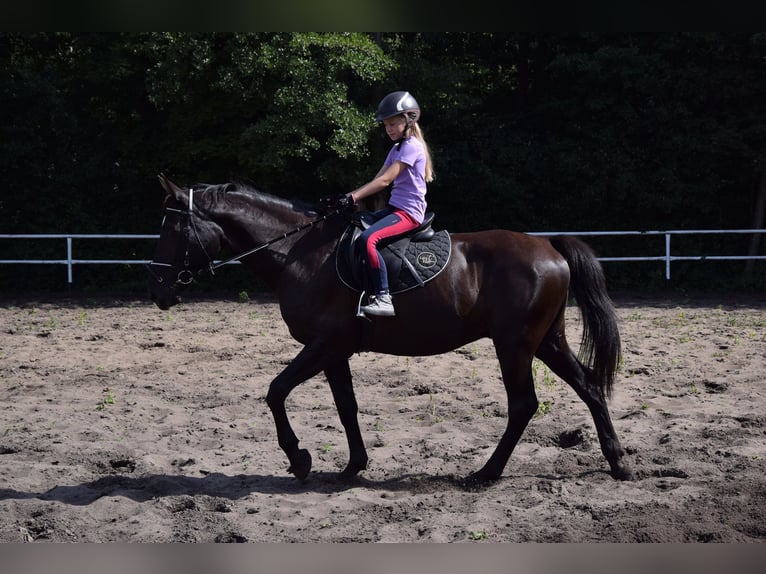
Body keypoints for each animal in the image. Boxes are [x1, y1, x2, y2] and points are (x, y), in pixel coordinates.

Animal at [146, 174, 633, 486]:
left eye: (173, 227)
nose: (158, 290)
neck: (300, 253)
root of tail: (549, 245)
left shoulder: (324, 344)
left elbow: (276, 391)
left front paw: (299, 459)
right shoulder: (334, 351)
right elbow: (346, 407)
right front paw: (352, 466)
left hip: (514, 345)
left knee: (523, 404)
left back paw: (486, 473)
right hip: (547, 340)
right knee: (590, 386)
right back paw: (617, 463)